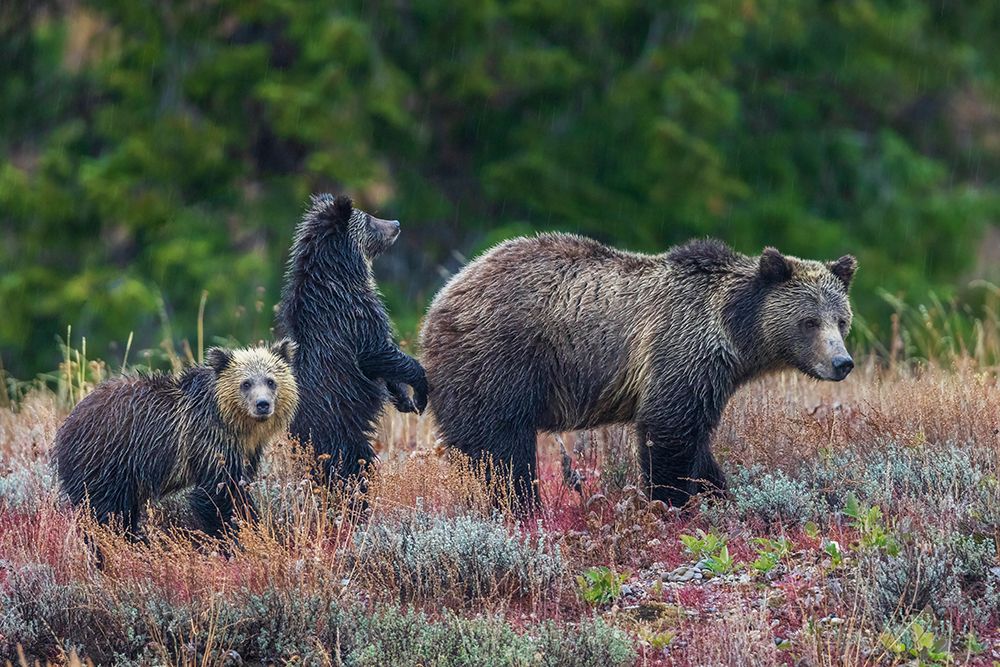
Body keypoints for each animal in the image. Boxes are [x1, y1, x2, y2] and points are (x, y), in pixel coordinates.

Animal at [51, 340, 299, 539]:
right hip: (105, 462)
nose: (262, 404)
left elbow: (239, 485)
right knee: (105, 510)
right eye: (246, 383)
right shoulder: (208, 441)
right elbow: (217, 495)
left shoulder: (246, 451)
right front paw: (239, 536)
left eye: (271, 381)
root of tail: (65, 426)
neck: (235, 424)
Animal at [275, 194, 428, 486]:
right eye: (369, 219)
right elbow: (379, 352)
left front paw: (405, 400)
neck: (341, 276)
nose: (396, 223)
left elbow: (384, 364)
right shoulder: (356, 316)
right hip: (340, 432)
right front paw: (420, 390)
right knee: (353, 466)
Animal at [420, 234, 857, 507]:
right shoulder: (680, 347)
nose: (842, 363)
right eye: (809, 321)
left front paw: (718, 492)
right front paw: (671, 501)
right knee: (500, 448)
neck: (734, 334)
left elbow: (696, 441)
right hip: (498, 360)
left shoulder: (709, 375)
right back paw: (520, 505)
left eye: (841, 320)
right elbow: (668, 429)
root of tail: (441, 298)